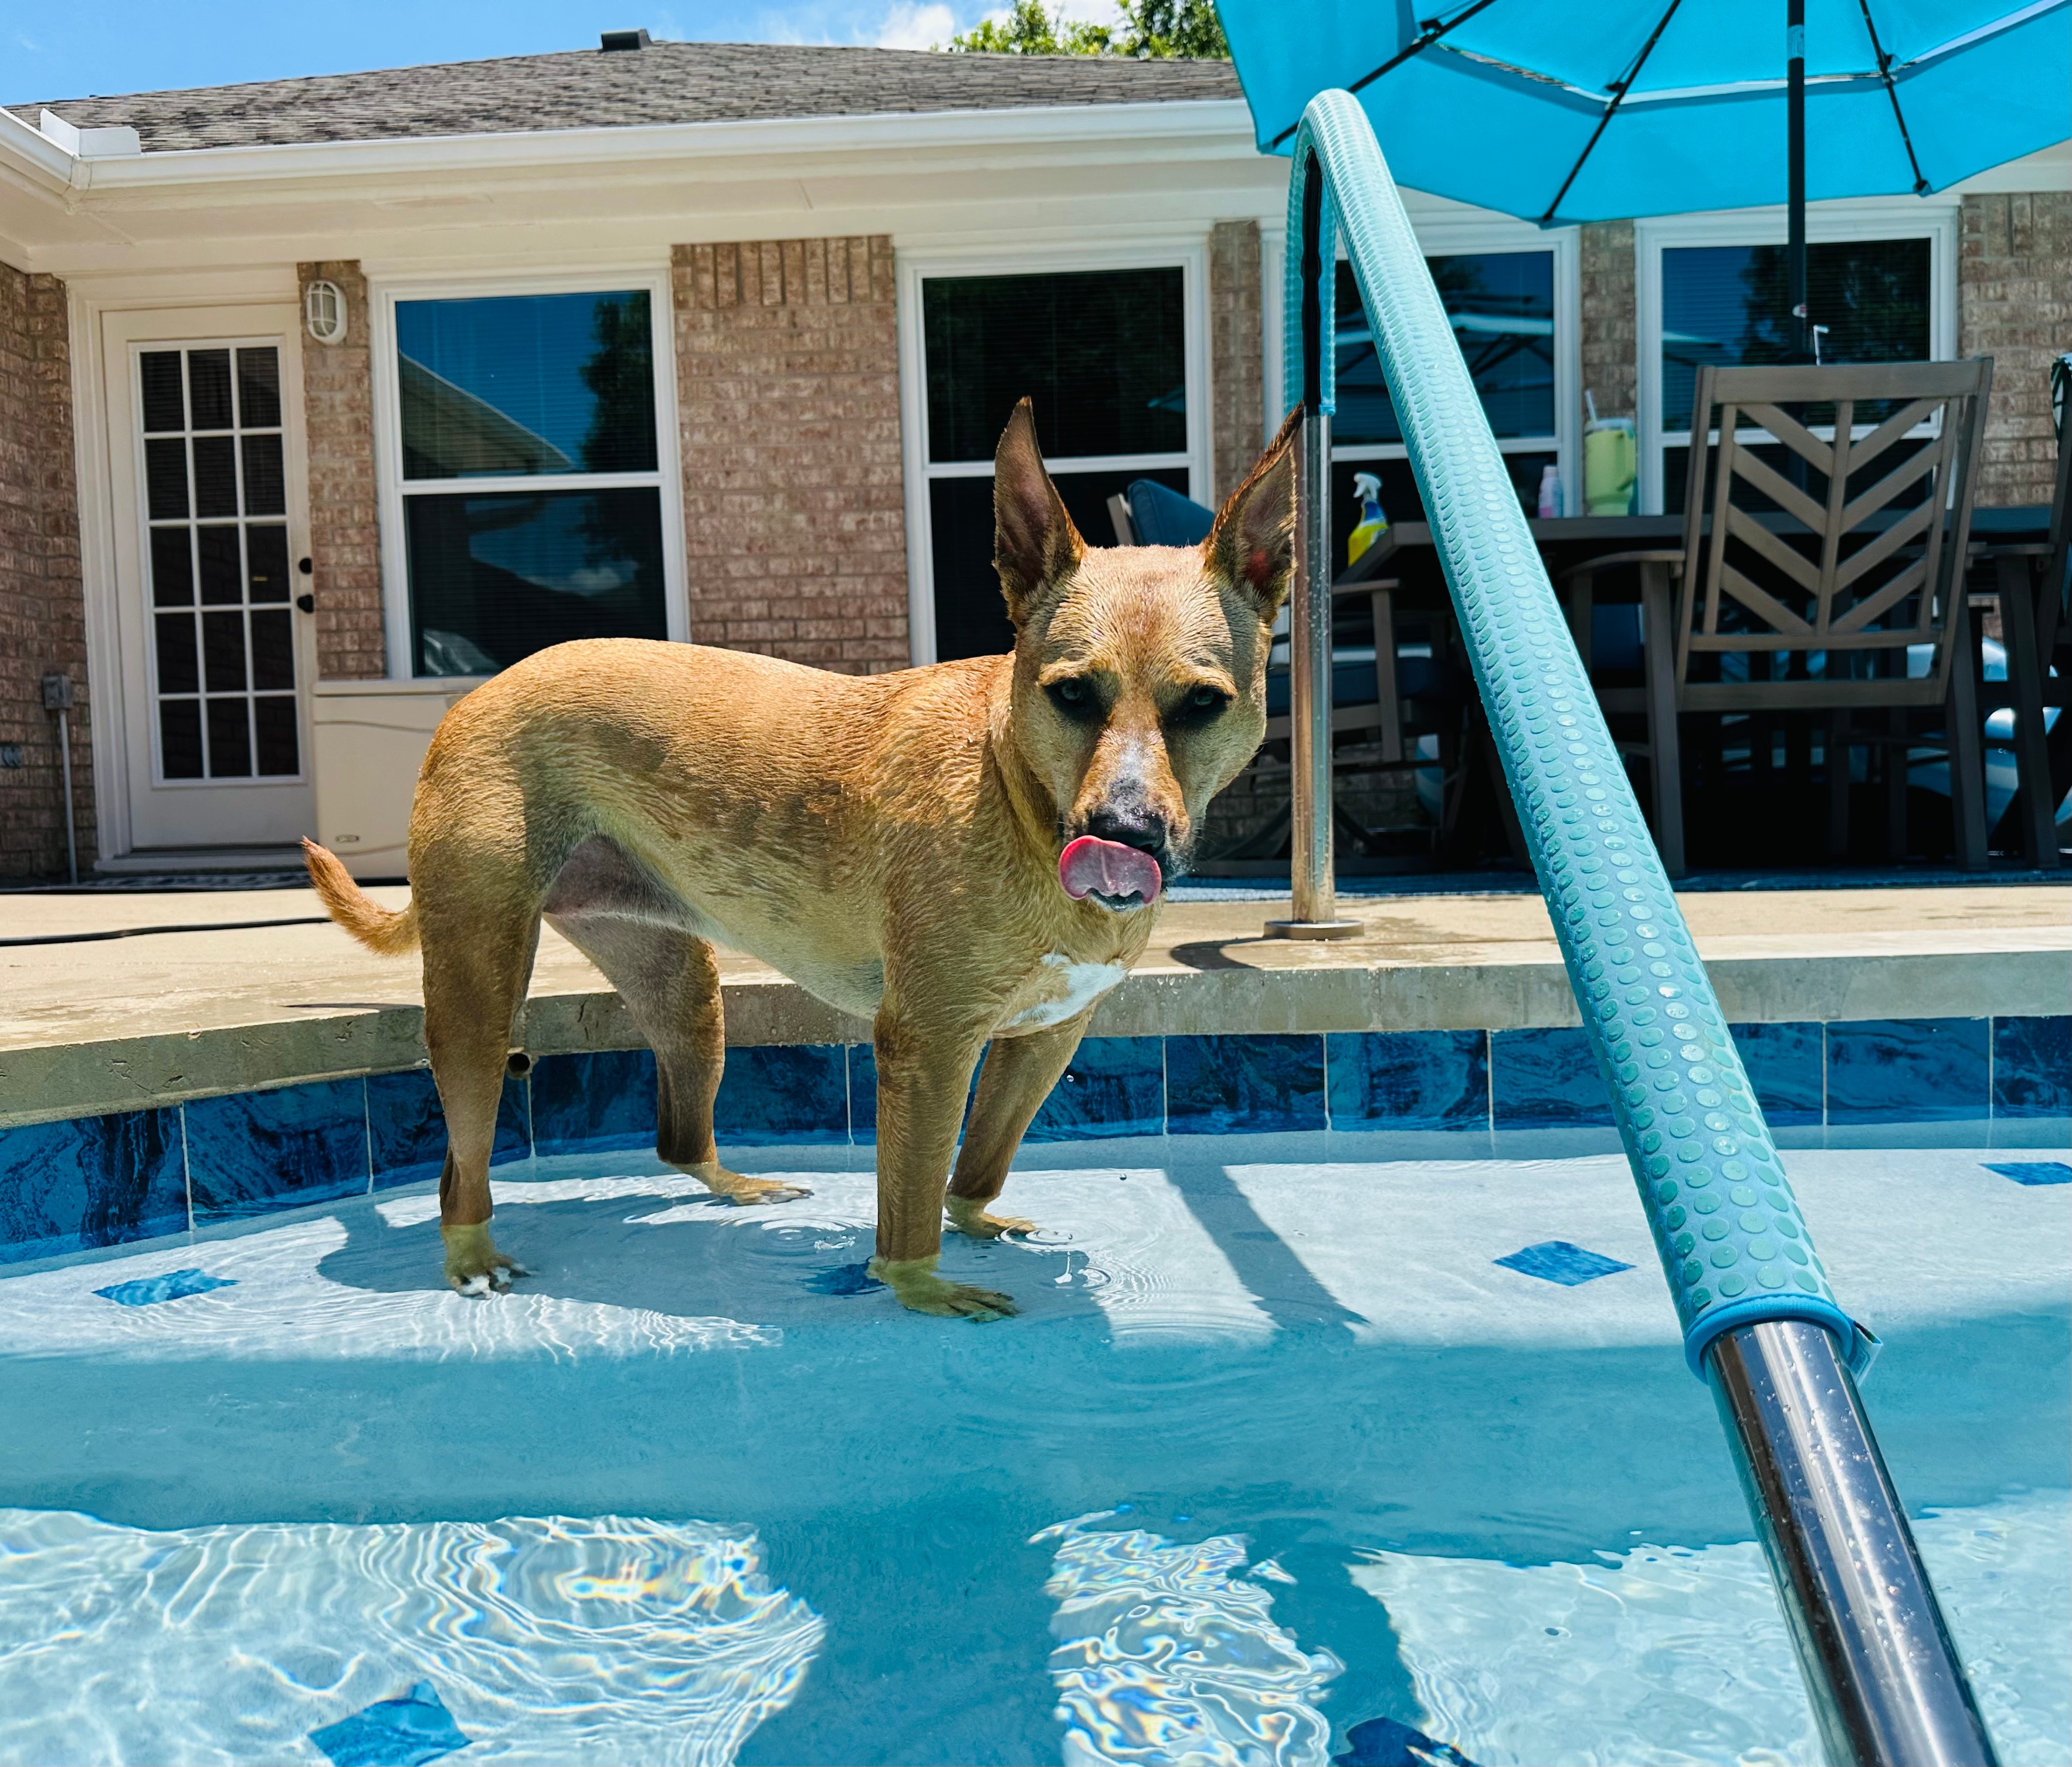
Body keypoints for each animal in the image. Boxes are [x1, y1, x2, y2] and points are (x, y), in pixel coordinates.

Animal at [300, 395, 1293, 1309]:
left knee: (673, 1136)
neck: (1015, 791)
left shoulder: (1046, 1037)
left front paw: (976, 1221)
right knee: (461, 1165)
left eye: (1203, 704)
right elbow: (911, 1200)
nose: (1122, 835)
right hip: (478, 993)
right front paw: (920, 1287)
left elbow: (981, 1161)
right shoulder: (928, 1044)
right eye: (1072, 694)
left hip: (683, 991)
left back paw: (735, 1186)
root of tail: (480, 691)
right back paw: (470, 1255)